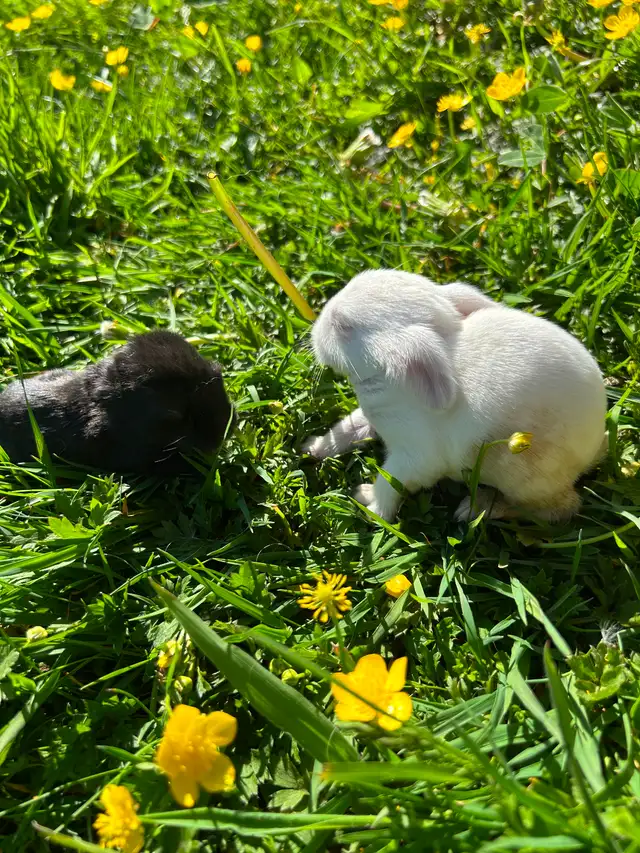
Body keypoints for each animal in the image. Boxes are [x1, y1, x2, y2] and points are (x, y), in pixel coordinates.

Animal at [303, 269, 607, 523]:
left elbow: (390, 483)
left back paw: (478, 508)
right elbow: (348, 429)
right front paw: (312, 448)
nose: (314, 329)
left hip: (526, 479)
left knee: (559, 509)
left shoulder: (416, 458)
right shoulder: (373, 417)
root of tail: (593, 448)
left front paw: (369, 505)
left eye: (342, 325)